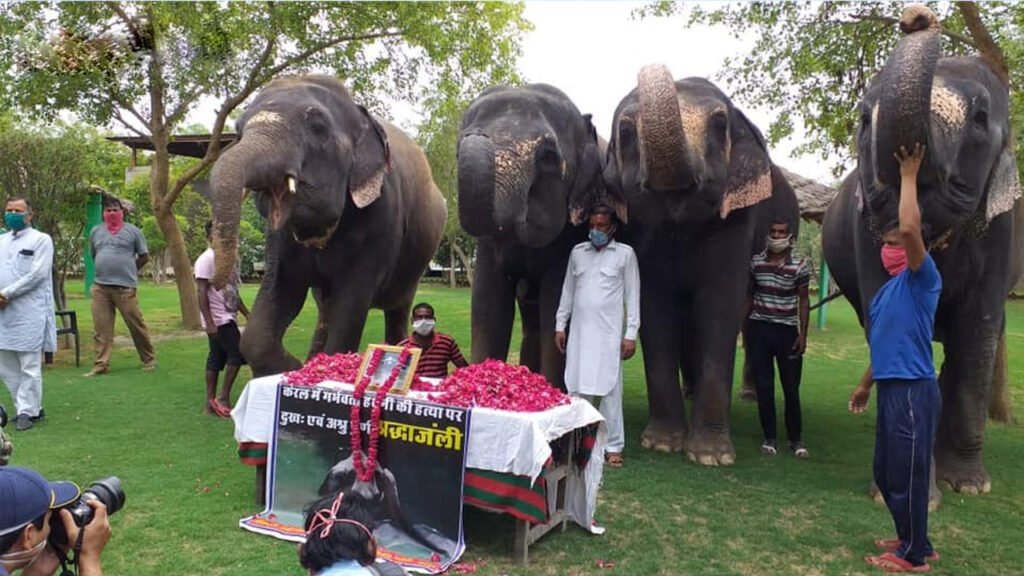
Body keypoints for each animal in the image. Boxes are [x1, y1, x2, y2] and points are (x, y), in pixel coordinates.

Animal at [210, 75, 447, 377]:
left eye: (317, 127)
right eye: (238, 132)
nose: (217, 284)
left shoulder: (382, 220)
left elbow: (351, 304)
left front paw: (316, 369)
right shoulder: (279, 238)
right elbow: (278, 293)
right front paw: (296, 369)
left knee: (397, 307)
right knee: (326, 309)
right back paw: (314, 356)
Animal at [456, 84, 607, 389]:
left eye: (548, 156)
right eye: (457, 150)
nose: (473, 135)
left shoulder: (570, 235)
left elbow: (556, 304)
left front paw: (553, 392)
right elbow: (488, 306)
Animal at [601, 65, 800, 465]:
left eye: (720, 123)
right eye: (626, 131)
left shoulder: (737, 216)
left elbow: (719, 306)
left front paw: (710, 457)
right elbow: (654, 303)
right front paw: (662, 444)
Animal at [822, 6, 1022, 497]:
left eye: (981, 117)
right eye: (863, 119)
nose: (915, 16)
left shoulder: (1002, 229)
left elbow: (977, 328)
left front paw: (968, 486)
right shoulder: (864, 231)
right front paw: (901, 491)